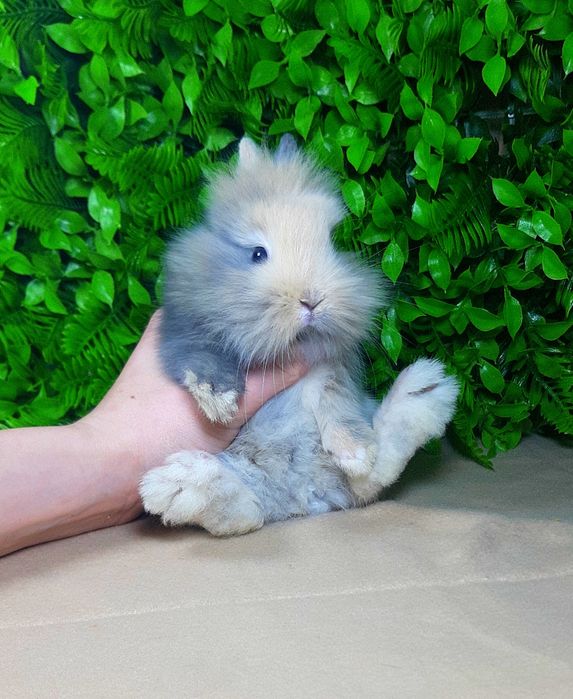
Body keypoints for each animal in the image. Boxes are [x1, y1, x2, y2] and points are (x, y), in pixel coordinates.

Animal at [139, 135, 459, 537]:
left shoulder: (331, 366)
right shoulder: (182, 330)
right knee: (245, 508)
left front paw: (356, 452)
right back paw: (177, 486)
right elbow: (201, 355)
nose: (311, 299)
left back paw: (422, 395)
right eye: (257, 253)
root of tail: (304, 496)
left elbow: (335, 399)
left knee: (370, 479)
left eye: (332, 244)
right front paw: (219, 400)